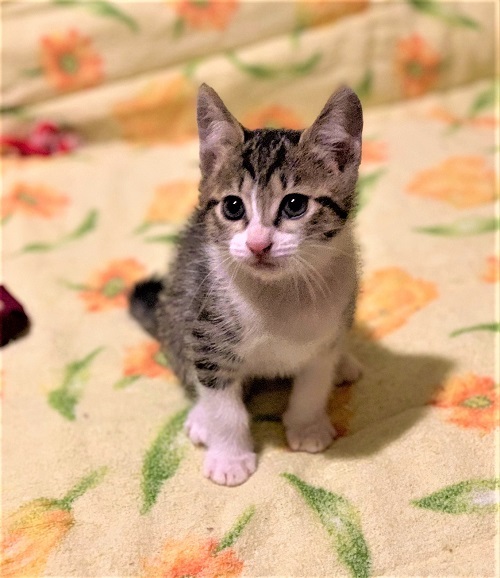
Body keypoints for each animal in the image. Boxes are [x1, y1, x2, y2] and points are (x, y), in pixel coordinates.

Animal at [130, 83, 363, 486]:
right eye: (233, 207)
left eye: (295, 205)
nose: (258, 244)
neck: (280, 294)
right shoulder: (207, 338)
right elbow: (225, 407)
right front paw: (229, 457)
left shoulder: (324, 335)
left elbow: (313, 383)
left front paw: (307, 427)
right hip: (179, 305)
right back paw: (200, 419)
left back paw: (345, 363)